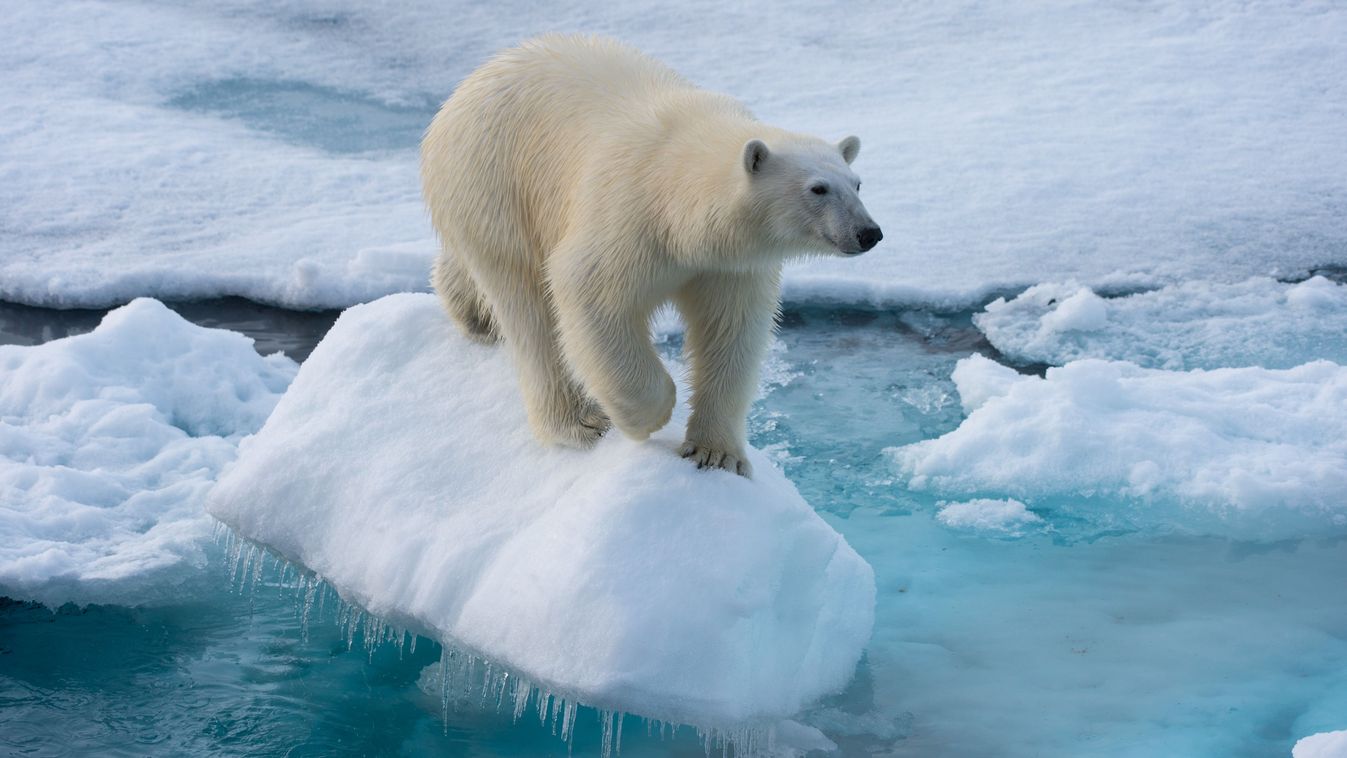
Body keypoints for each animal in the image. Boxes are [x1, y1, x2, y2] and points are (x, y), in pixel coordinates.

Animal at [422, 35, 883, 476]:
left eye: (857, 184)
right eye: (817, 189)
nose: (869, 233)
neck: (676, 194)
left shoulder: (727, 265)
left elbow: (732, 333)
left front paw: (717, 453)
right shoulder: (628, 216)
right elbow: (590, 295)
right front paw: (649, 416)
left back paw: (471, 313)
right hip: (495, 184)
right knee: (528, 309)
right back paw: (580, 423)